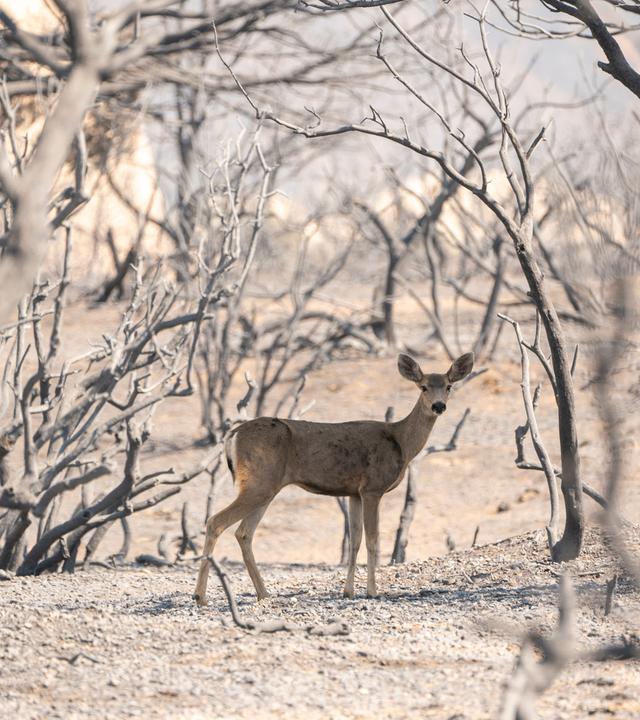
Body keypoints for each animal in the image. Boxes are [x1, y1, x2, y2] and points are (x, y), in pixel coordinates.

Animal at [194, 351, 474, 605]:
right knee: (216, 522)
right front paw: (372, 591)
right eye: (423, 386)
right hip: (259, 483)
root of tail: (233, 435)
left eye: (448, 386)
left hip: (265, 488)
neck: (401, 441)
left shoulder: (354, 492)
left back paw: (264, 594)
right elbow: (373, 540)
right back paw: (200, 596)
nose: (439, 406)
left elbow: (355, 541)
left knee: (243, 533)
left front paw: (348, 591)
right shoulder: (372, 488)